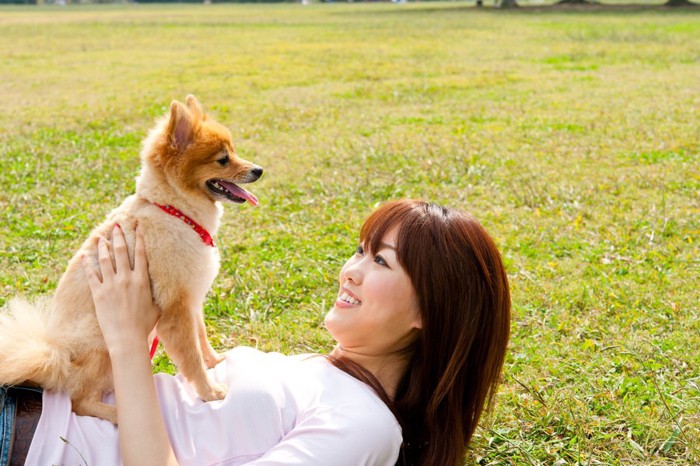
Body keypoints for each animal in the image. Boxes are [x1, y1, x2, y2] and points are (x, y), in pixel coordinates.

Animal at [0, 93, 262, 422]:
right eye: (223, 159)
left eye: (233, 151)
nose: (258, 170)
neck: (174, 211)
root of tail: (55, 358)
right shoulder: (175, 308)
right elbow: (190, 357)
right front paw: (210, 392)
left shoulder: (192, 300)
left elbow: (201, 339)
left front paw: (214, 362)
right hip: (104, 343)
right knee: (80, 400)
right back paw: (116, 414)